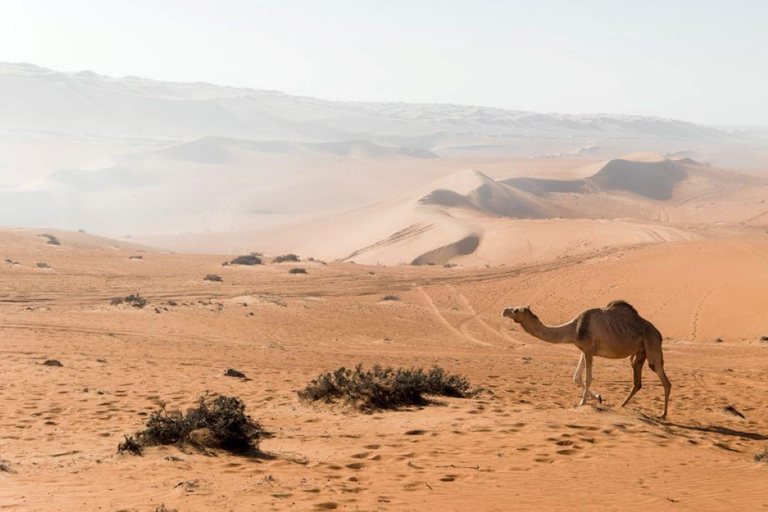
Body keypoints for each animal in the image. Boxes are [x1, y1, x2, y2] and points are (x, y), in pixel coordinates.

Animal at [500, 302, 668, 418]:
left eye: (516, 310)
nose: (504, 310)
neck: (573, 329)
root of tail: (659, 333)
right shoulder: (584, 350)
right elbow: (576, 377)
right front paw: (599, 398)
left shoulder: (588, 350)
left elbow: (588, 378)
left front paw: (582, 403)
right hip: (640, 352)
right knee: (637, 381)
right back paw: (622, 405)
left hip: (651, 343)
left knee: (664, 379)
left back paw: (663, 415)